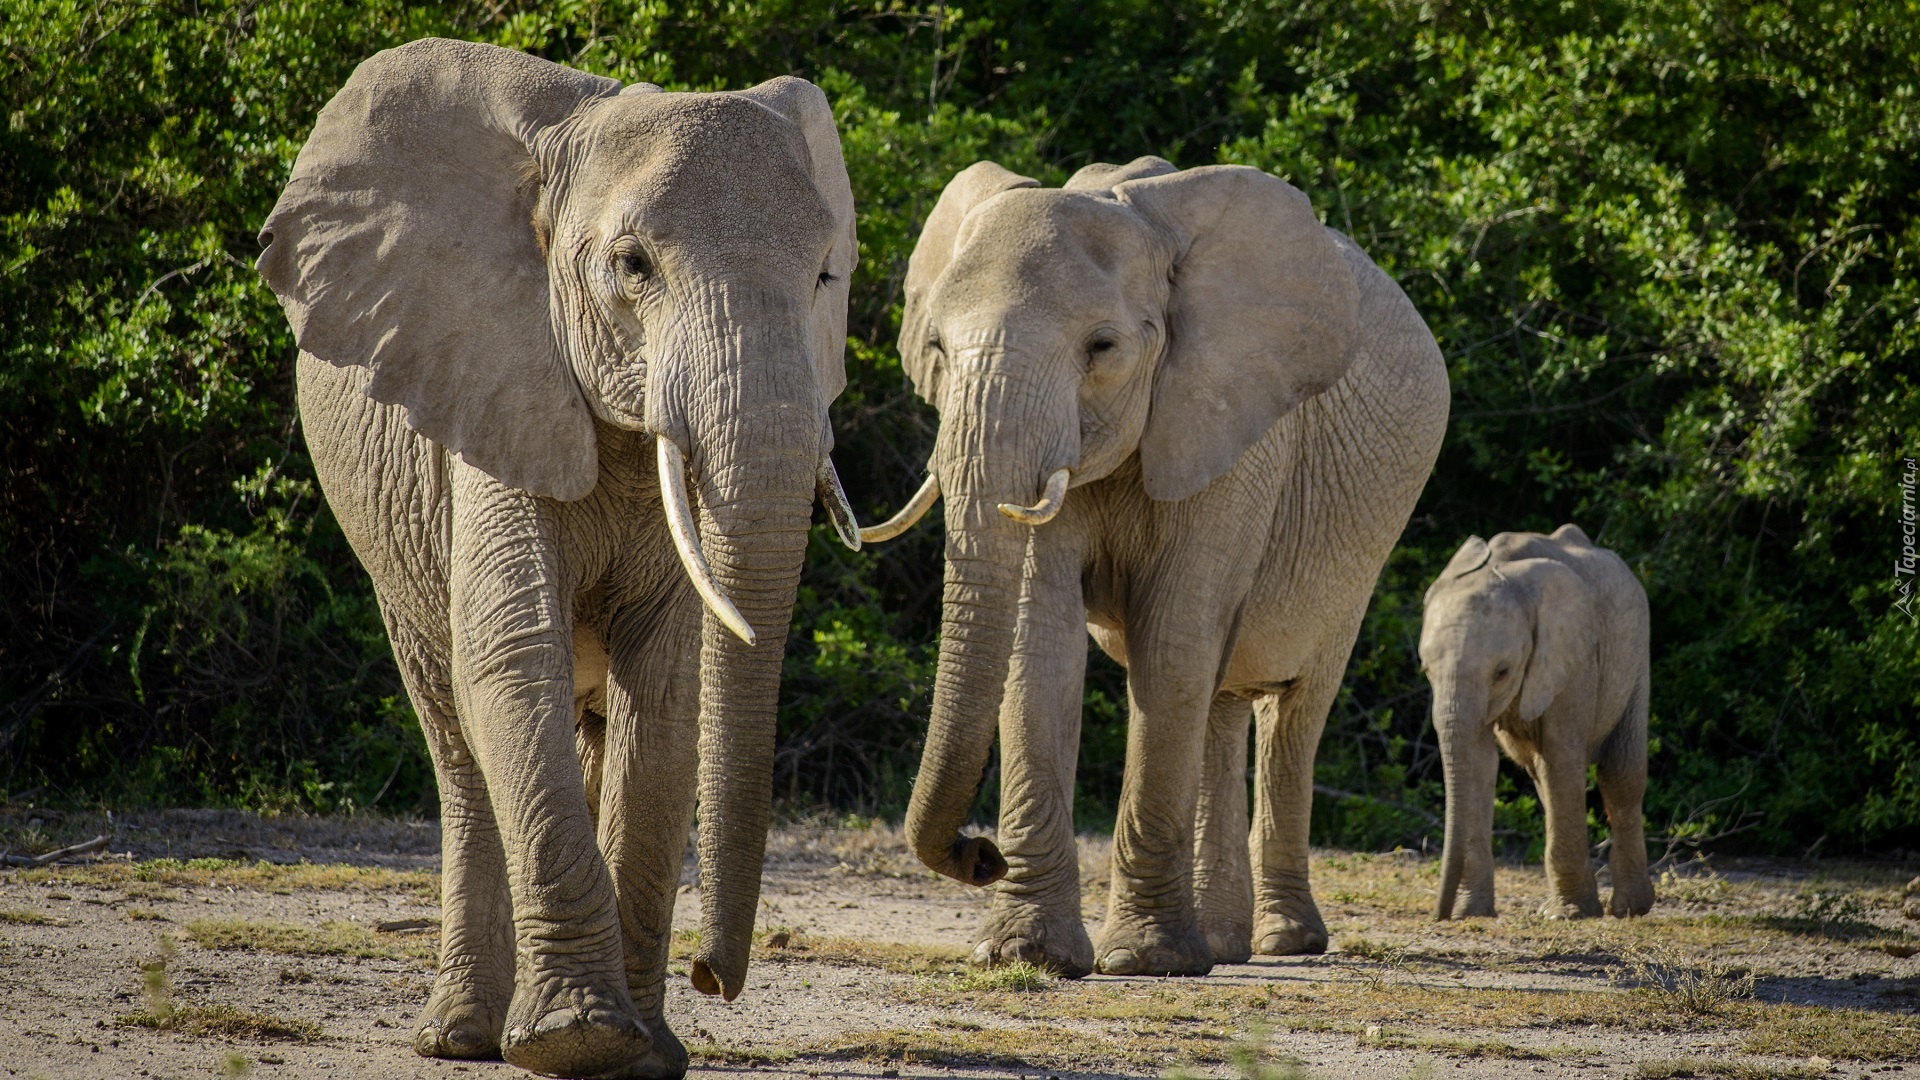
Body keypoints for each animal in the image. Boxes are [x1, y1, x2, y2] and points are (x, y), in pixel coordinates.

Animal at [255, 37, 864, 1068]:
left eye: (828, 273)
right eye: (632, 265)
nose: (714, 976)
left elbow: (665, 685)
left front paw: (642, 1052)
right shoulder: (490, 380)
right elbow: (510, 654)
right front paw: (576, 1041)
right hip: (392, 557)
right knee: (455, 737)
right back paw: (460, 1037)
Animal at [864, 155, 1443, 972]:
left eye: (1102, 347)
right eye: (938, 350)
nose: (980, 854)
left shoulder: (1234, 423)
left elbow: (1171, 643)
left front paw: (1144, 961)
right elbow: (1039, 642)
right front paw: (1024, 956)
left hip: (1362, 552)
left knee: (1293, 707)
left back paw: (1284, 941)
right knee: (1220, 700)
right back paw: (1225, 944)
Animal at [1420, 522, 1658, 914]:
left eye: (1502, 672)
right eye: (1425, 669)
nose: (1439, 916)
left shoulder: (1573, 655)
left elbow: (1561, 755)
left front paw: (1571, 915)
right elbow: (1479, 762)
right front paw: (1472, 912)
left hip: (1636, 652)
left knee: (1619, 772)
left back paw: (1627, 908)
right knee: (1540, 776)